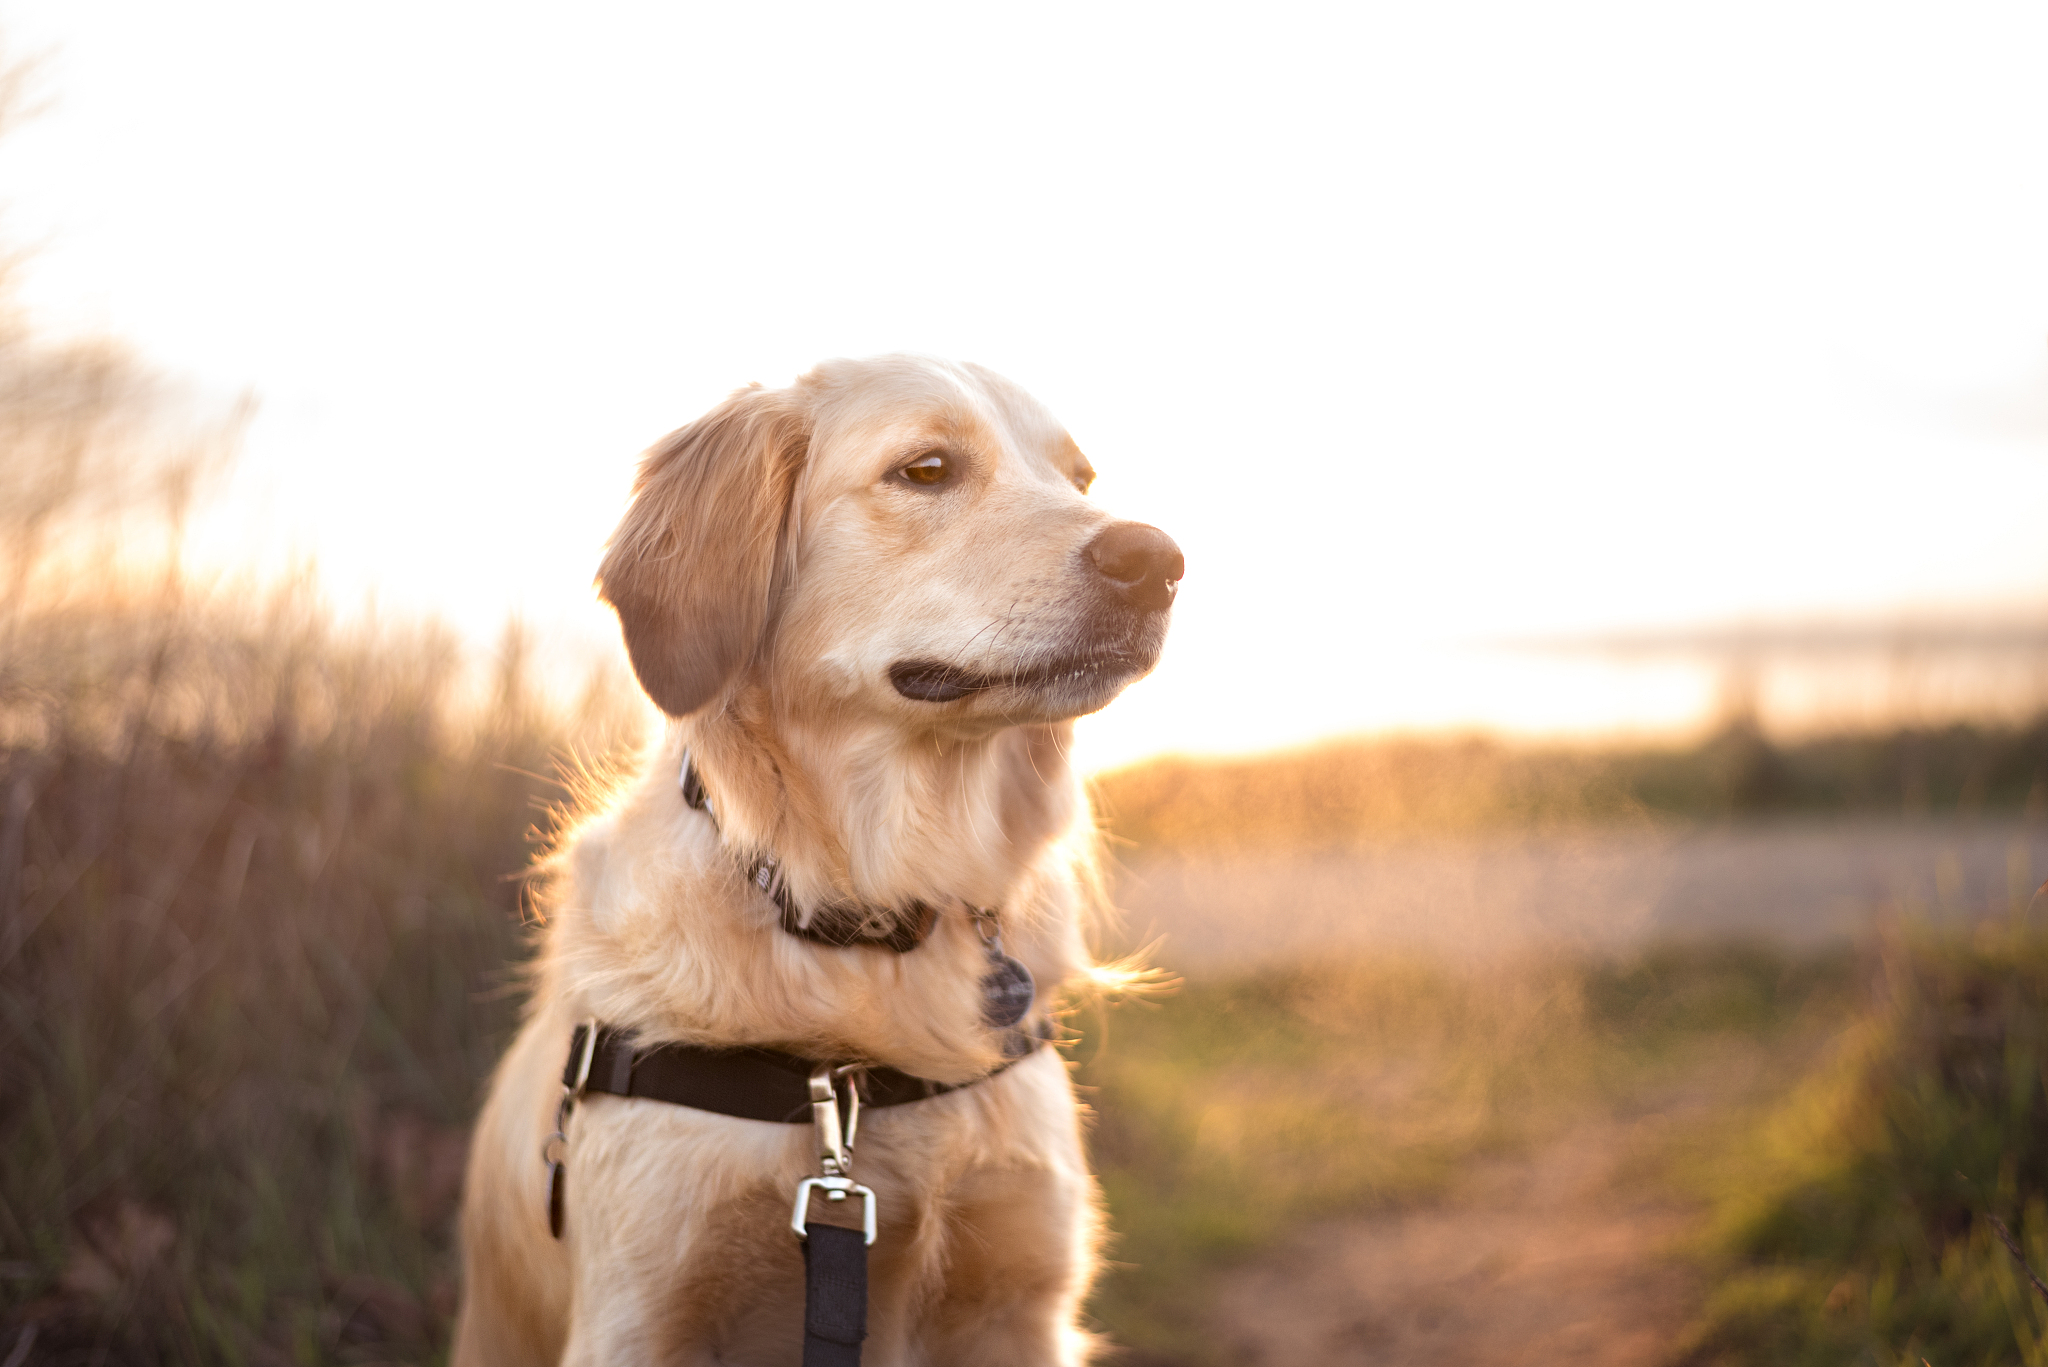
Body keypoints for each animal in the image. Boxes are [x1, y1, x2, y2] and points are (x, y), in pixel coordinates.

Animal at [448, 356, 1187, 1367]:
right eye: (925, 469)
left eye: (1079, 479)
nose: (1160, 562)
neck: (868, 922)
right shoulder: (642, 1314)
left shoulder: (1016, 1301)